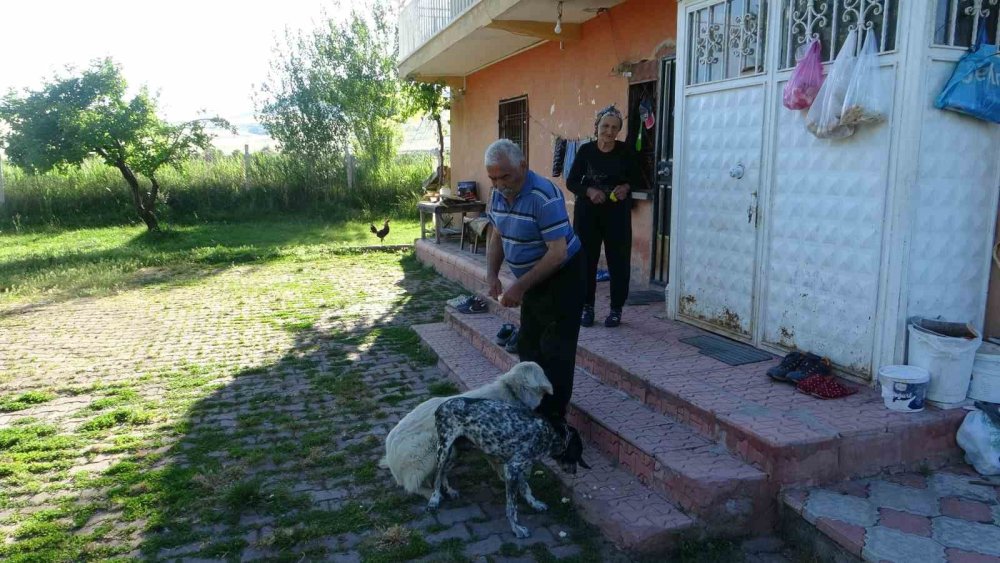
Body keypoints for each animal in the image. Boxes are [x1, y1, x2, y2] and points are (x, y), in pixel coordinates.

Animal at [428, 396, 584, 536]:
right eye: (577, 455)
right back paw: (434, 499)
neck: (550, 433)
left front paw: (534, 503)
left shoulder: (520, 467)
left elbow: (526, 488)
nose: (574, 471)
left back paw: (449, 491)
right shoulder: (511, 468)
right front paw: (516, 528)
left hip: (458, 452)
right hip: (444, 450)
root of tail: (441, 406)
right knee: (437, 475)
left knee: (443, 472)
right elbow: (512, 506)